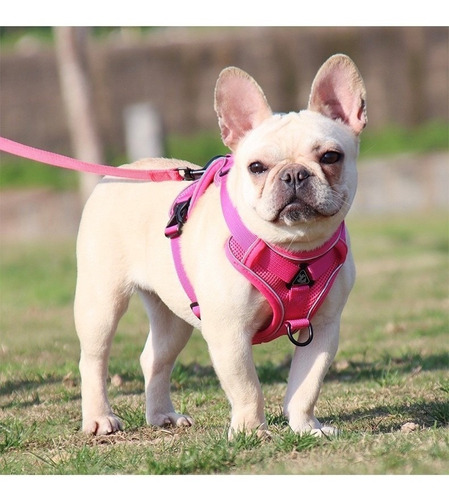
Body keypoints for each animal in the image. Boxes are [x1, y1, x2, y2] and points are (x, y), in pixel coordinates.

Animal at [74, 55, 368, 438]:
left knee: (155, 358)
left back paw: (162, 414)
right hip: (101, 302)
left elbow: (307, 385)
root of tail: (119, 171)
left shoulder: (323, 329)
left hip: (173, 317)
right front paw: (252, 432)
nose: (293, 174)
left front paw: (306, 427)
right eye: (256, 167)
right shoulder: (229, 332)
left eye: (331, 157)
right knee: (93, 358)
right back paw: (99, 418)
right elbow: (247, 387)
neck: (294, 248)